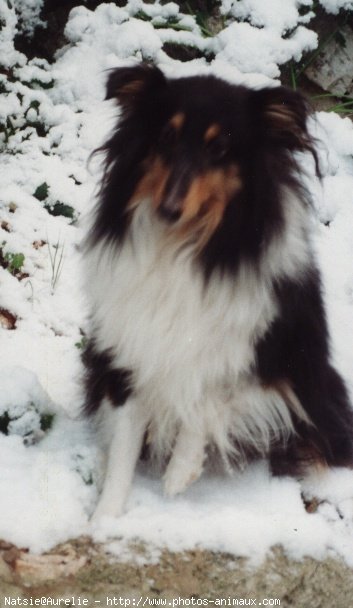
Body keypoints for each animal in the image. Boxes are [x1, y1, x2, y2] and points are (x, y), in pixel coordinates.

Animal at [82, 63, 352, 524]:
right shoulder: (130, 352)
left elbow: (212, 394)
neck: (182, 246)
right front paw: (104, 520)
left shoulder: (275, 364)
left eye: (220, 146)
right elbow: (124, 445)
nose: (168, 209)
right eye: (166, 136)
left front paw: (180, 471)